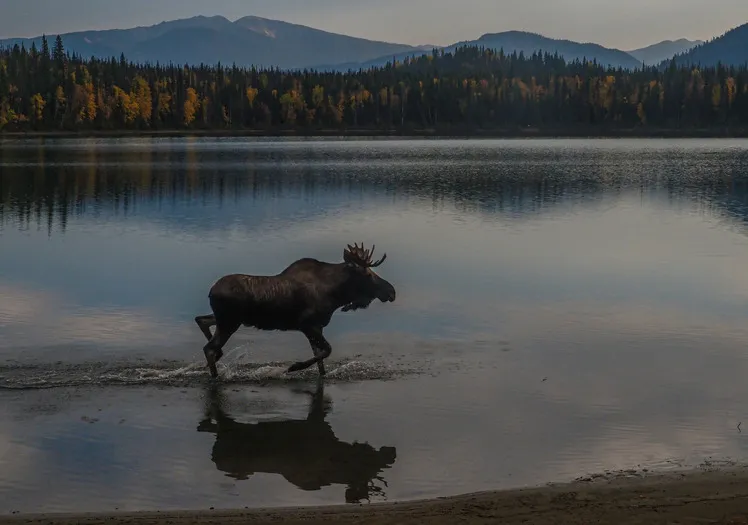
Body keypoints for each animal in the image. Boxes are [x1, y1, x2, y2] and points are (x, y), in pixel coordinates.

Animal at [194, 243, 396, 379]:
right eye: (368, 274)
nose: (391, 291)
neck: (335, 295)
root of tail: (210, 291)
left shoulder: (317, 328)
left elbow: (320, 360)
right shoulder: (308, 325)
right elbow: (327, 351)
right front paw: (294, 367)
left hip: (227, 319)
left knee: (201, 321)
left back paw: (217, 357)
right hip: (230, 322)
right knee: (209, 348)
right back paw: (215, 374)